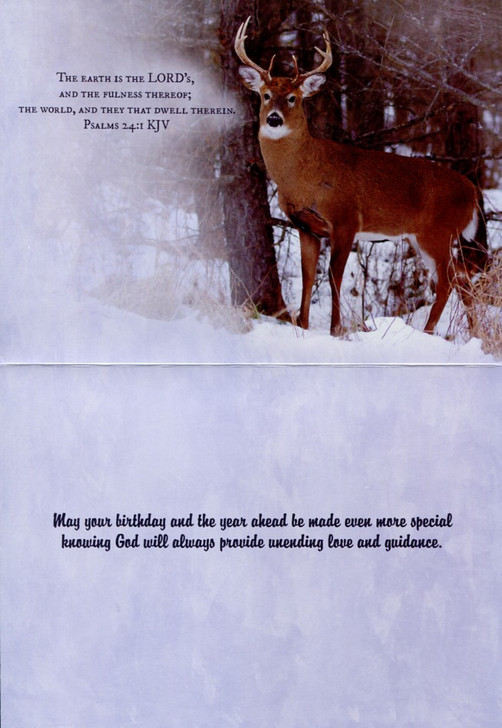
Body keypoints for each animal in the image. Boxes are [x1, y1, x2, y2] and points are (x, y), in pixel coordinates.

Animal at [234, 17, 488, 336]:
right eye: (266, 95)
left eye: (293, 98)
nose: (274, 119)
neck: (304, 176)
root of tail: (473, 191)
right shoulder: (305, 226)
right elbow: (308, 278)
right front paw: (303, 326)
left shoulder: (345, 219)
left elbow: (334, 277)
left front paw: (336, 330)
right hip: (423, 238)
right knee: (462, 279)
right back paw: (472, 333)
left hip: (438, 232)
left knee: (449, 281)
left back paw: (428, 331)